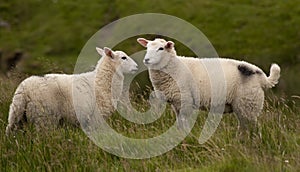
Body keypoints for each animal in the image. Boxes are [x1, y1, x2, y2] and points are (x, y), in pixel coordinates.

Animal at [5, 46, 138, 134]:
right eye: (123, 57)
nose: (137, 66)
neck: (101, 82)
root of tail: (24, 90)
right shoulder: (96, 119)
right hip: (44, 117)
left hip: (17, 117)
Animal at [137, 37, 280, 131]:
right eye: (147, 48)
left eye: (161, 48)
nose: (146, 60)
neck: (175, 67)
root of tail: (261, 76)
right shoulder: (176, 103)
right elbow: (179, 123)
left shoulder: (186, 101)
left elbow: (184, 122)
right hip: (246, 105)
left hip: (248, 103)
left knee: (252, 128)